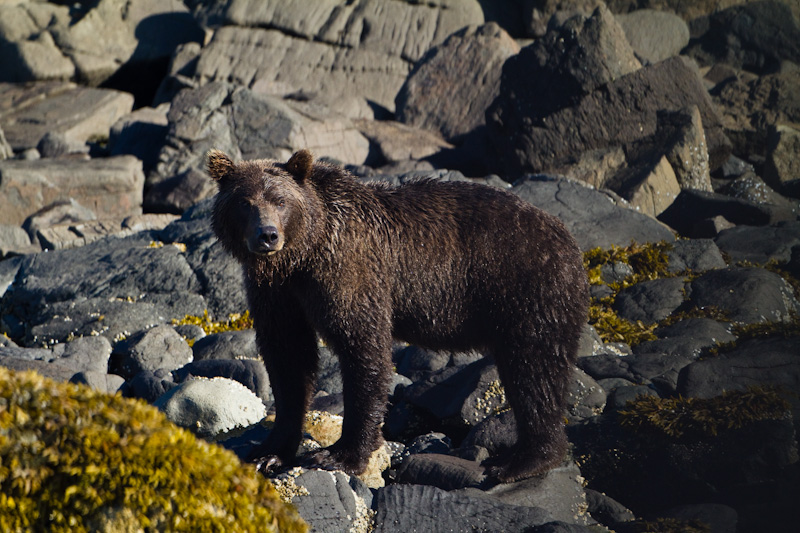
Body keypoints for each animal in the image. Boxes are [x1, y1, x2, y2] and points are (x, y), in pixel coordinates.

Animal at [209, 149, 592, 482]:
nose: (267, 235)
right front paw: (268, 452)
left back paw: (520, 461)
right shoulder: (278, 293)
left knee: (534, 369)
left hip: (529, 290)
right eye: (244, 203)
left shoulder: (350, 269)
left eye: (281, 201)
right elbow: (288, 357)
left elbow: (362, 347)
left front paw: (340, 454)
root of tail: (573, 244)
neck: (303, 255)